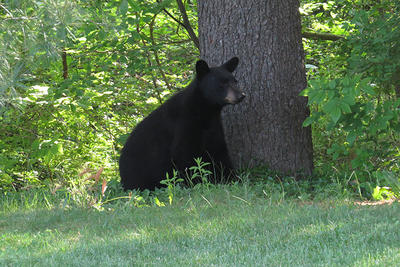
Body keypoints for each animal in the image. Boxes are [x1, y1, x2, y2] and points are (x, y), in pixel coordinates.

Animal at [118, 57, 244, 191]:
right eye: (222, 83)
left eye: (235, 81)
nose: (241, 95)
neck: (206, 111)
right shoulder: (184, 125)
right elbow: (185, 155)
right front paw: (195, 183)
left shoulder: (214, 127)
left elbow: (220, 152)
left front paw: (232, 179)